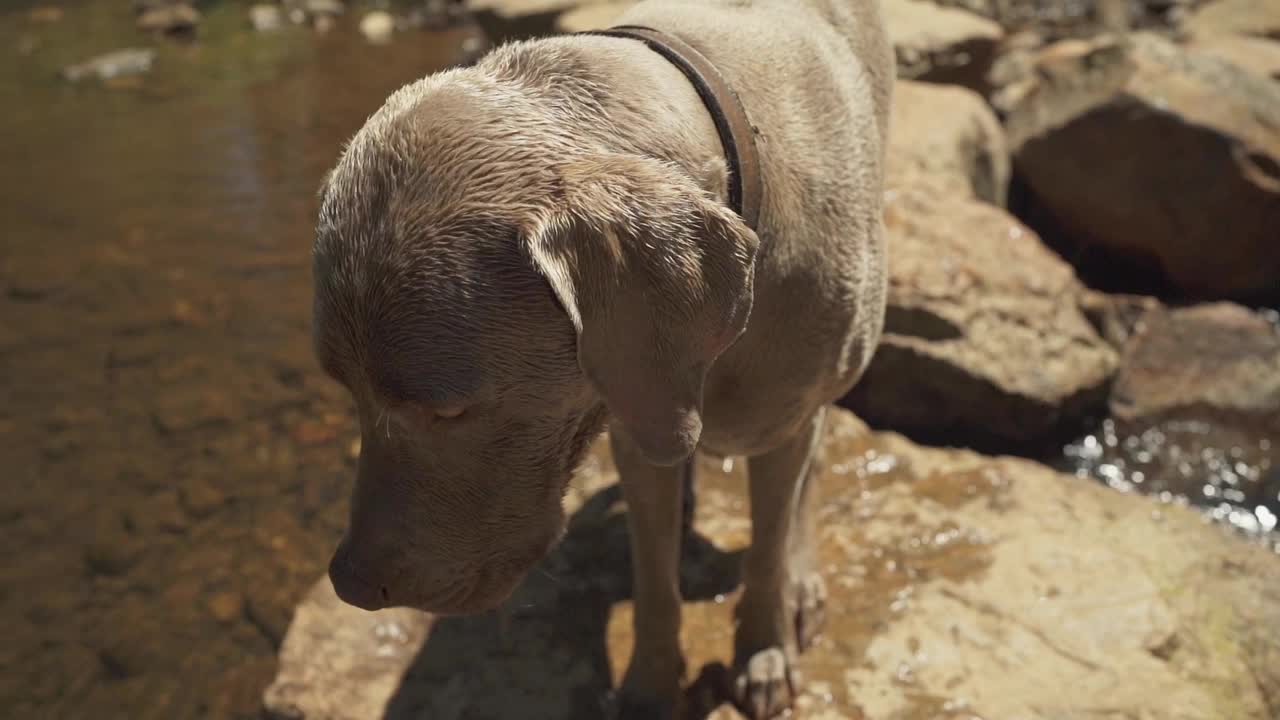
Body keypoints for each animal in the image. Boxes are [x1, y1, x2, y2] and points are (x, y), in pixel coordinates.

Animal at [309, 2, 890, 712]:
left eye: (446, 412)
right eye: (346, 389)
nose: (350, 582)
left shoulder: (779, 414)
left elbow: (770, 541)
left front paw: (764, 650)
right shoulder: (636, 421)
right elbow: (655, 573)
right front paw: (650, 685)